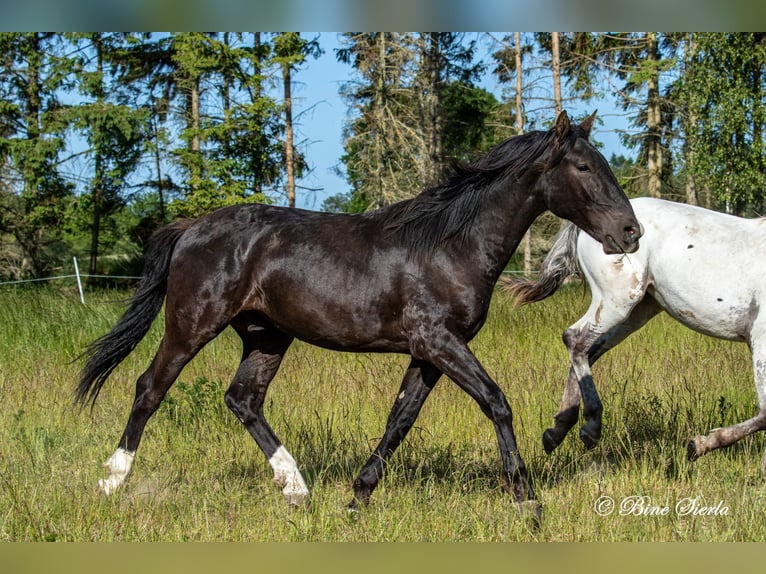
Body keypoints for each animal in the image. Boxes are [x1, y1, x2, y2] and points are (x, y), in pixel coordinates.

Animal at [76, 111, 640, 514]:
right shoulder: (440, 341)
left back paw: (297, 488)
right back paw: (111, 480)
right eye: (584, 167)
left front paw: (358, 497)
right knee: (150, 388)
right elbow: (496, 403)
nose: (630, 232)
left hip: (266, 335)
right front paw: (526, 500)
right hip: (192, 324)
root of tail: (191, 228)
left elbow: (400, 419)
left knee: (243, 399)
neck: (449, 245)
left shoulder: (427, 353)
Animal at [503, 196, 766, 477]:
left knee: (590, 350)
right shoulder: (759, 338)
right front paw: (699, 445)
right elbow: (765, 413)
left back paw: (558, 430)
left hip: (637, 310)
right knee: (575, 339)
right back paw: (590, 428)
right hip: (617, 301)